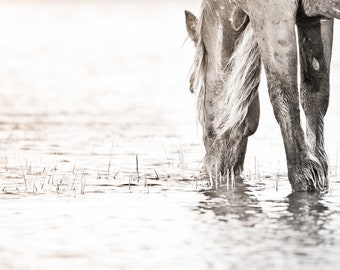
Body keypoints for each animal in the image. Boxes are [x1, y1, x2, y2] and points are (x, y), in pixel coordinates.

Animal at [185, 0, 340, 192]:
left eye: (191, 86)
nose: (210, 169)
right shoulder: (315, 20)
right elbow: (315, 95)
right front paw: (319, 173)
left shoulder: (271, 16)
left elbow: (284, 97)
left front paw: (303, 176)